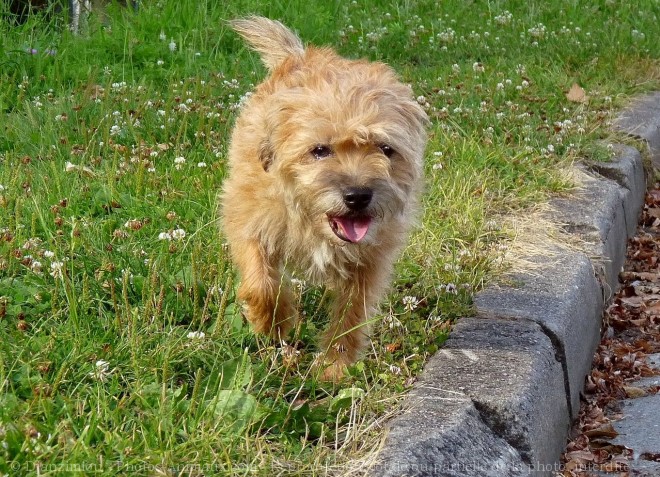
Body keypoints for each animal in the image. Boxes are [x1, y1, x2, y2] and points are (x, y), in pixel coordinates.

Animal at [222, 15, 428, 380]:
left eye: (385, 149)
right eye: (320, 150)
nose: (358, 195)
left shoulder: (370, 261)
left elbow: (352, 312)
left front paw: (334, 366)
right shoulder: (246, 219)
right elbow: (261, 282)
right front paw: (273, 323)